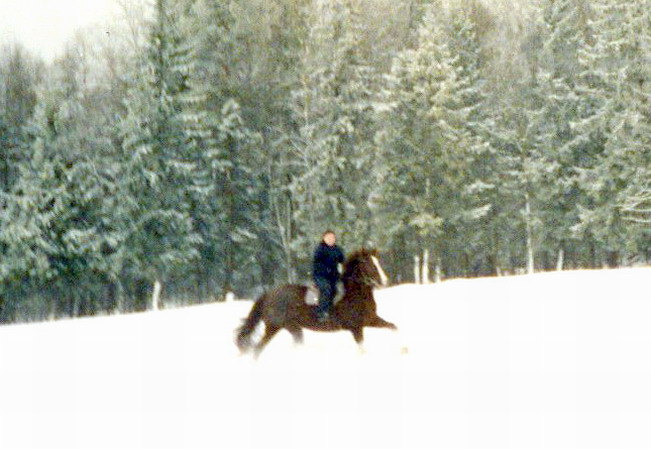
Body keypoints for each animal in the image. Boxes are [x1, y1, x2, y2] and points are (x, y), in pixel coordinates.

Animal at [236, 248, 398, 356]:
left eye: (378, 262)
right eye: (370, 264)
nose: (385, 281)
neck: (354, 295)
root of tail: (268, 295)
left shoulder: (371, 320)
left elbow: (393, 327)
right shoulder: (356, 328)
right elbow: (363, 348)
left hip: (293, 328)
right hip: (275, 327)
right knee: (258, 349)